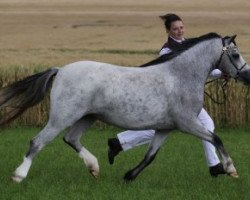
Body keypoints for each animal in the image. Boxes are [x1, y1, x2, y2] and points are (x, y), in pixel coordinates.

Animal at [0, 32, 249, 183]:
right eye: (235, 54)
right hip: (62, 117)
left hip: (87, 117)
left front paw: (128, 176)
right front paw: (231, 169)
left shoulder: (166, 128)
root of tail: (60, 70)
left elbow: (150, 155)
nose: (247, 75)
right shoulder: (187, 123)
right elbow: (216, 139)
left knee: (71, 139)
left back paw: (95, 167)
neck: (180, 76)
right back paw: (18, 176)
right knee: (38, 141)